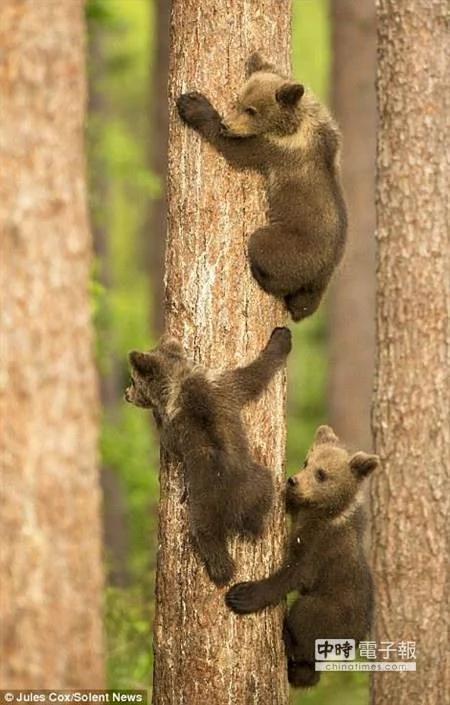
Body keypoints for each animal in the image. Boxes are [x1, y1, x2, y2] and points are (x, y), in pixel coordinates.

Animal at [125, 326, 292, 586]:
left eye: (133, 380)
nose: (126, 393)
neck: (178, 381)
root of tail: (234, 509)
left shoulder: (209, 393)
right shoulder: (222, 386)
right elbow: (255, 374)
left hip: (205, 504)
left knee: (205, 533)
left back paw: (222, 571)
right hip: (254, 486)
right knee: (261, 503)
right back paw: (250, 537)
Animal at [177, 52, 347, 322]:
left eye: (252, 110)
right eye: (238, 101)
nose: (227, 124)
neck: (293, 124)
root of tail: (326, 272)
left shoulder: (274, 149)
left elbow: (236, 149)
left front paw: (193, 105)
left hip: (294, 247)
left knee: (263, 247)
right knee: (304, 305)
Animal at [225, 424, 378, 688]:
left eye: (321, 474)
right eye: (307, 462)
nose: (293, 480)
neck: (324, 511)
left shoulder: (322, 546)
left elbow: (294, 572)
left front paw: (243, 595)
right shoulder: (300, 511)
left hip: (332, 611)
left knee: (306, 618)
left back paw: (289, 639)